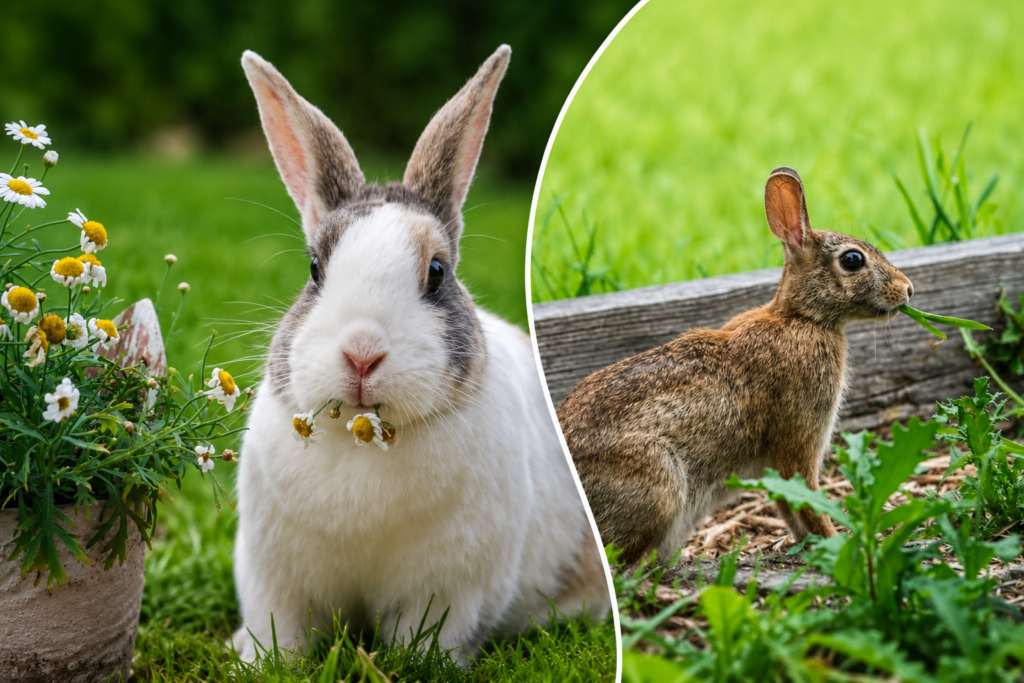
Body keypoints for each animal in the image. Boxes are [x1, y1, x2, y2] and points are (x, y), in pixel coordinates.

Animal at [230, 45, 609, 663]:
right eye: (315, 269)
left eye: (436, 272)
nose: (362, 354)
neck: (361, 440)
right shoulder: (275, 579)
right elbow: (281, 632)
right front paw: (256, 660)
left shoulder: (452, 590)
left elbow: (426, 638)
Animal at [556, 167, 915, 566]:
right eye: (853, 260)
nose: (908, 289)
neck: (801, 317)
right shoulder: (798, 441)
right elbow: (806, 499)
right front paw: (836, 543)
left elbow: (788, 508)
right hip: (657, 480)